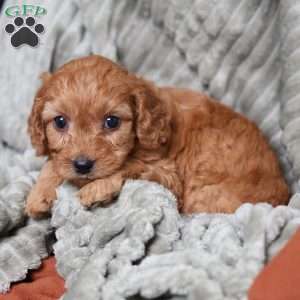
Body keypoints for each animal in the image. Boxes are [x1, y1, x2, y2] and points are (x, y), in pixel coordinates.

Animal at [25, 54, 288, 218]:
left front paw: (96, 189)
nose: (82, 165)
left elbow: (129, 166)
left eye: (112, 122)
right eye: (60, 122)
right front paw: (39, 193)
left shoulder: (167, 175)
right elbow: (53, 163)